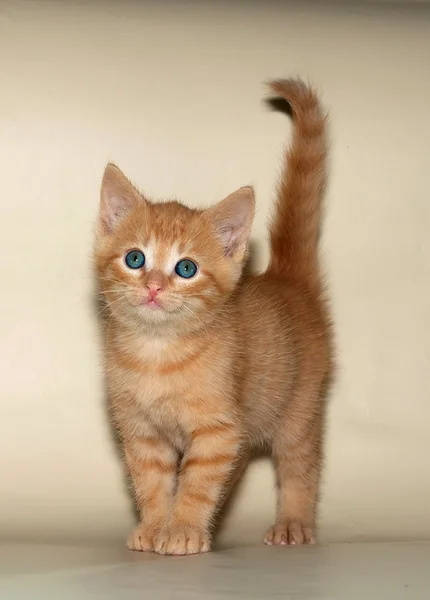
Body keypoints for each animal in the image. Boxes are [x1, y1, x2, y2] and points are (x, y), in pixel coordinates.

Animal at [95, 77, 334, 556]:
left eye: (186, 268)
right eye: (135, 258)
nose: (154, 285)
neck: (158, 352)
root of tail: (287, 278)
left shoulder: (218, 430)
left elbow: (198, 484)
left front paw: (183, 529)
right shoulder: (142, 432)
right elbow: (152, 483)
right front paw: (155, 525)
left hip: (301, 406)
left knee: (301, 465)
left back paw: (294, 522)